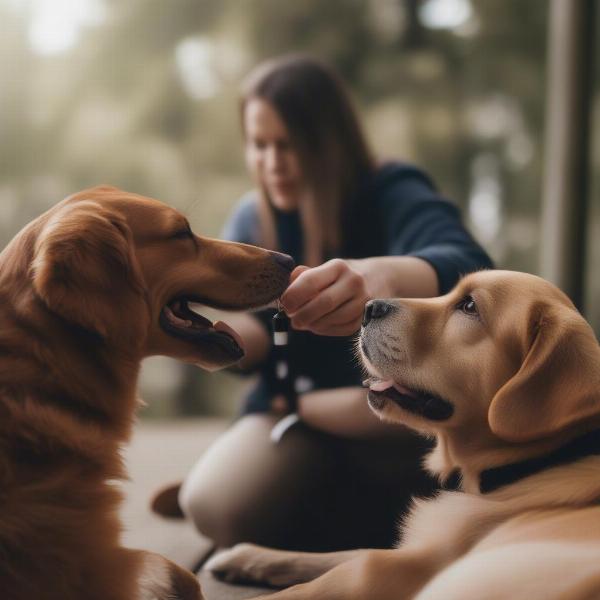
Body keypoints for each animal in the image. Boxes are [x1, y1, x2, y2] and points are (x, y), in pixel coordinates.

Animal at [209, 272, 600, 600]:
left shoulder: (392, 571)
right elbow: (344, 552)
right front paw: (249, 555)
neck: (525, 469)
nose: (369, 307)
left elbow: (315, 583)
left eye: (469, 306)